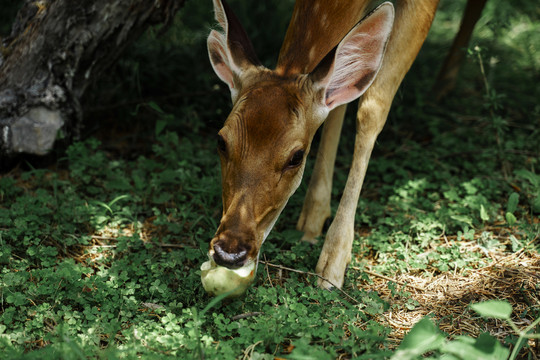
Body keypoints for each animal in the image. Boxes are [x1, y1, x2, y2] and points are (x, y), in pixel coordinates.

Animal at [206, 0, 486, 292]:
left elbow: (372, 109)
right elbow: (338, 102)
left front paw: (333, 263)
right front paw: (313, 218)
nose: (229, 251)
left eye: (296, 156)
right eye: (221, 141)